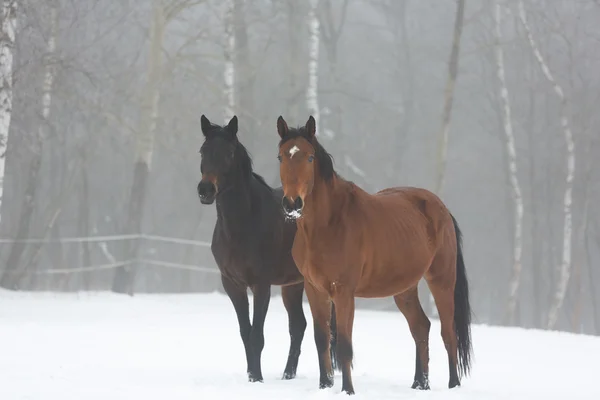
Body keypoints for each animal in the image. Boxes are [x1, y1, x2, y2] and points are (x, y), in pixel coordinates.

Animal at [197, 114, 338, 382]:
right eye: (202, 151)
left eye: (229, 152)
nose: (205, 190)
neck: (244, 223)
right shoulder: (232, 284)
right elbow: (245, 332)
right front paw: (252, 376)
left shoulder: (260, 285)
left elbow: (257, 336)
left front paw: (257, 378)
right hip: (293, 286)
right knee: (299, 326)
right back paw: (288, 375)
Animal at [276, 115, 474, 394]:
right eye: (281, 157)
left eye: (310, 157)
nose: (292, 204)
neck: (328, 224)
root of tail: (442, 209)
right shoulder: (315, 289)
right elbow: (322, 339)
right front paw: (325, 386)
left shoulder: (344, 292)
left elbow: (344, 344)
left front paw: (347, 390)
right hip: (405, 289)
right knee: (421, 327)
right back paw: (419, 384)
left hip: (442, 281)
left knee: (448, 334)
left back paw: (453, 385)